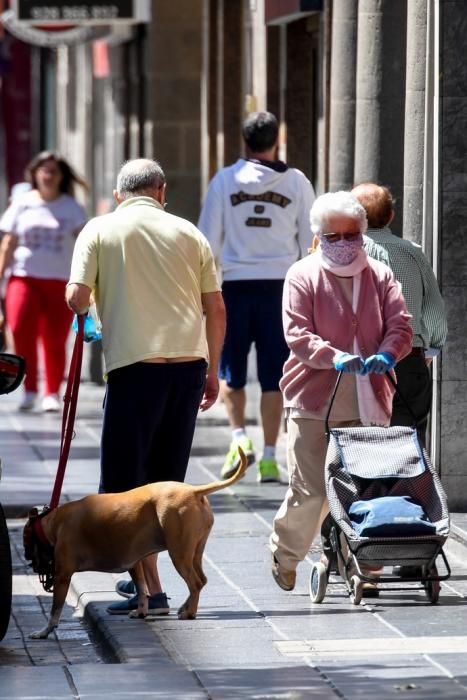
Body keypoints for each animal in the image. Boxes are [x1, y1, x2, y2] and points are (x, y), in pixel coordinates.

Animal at [23, 448, 247, 640]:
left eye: (26, 545)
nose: (29, 562)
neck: (53, 523)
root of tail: (193, 492)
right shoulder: (135, 564)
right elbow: (141, 589)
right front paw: (141, 611)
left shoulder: (62, 576)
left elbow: (55, 610)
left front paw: (44, 631)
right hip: (195, 552)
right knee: (201, 580)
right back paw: (186, 606)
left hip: (179, 554)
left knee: (195, 583)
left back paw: (189, 613)